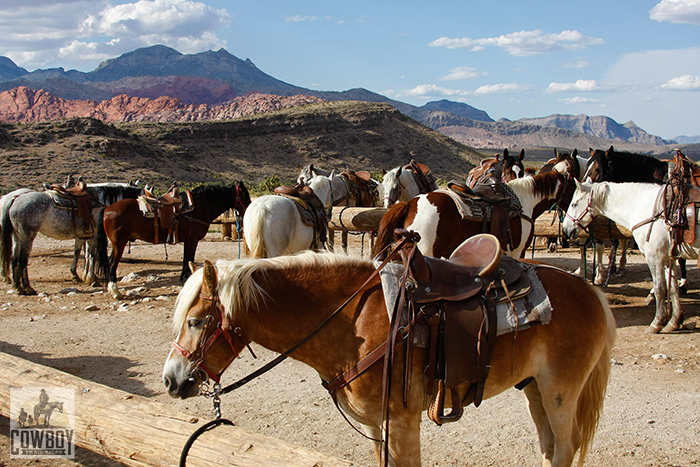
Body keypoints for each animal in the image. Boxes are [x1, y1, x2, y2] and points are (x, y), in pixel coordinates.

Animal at [0, 184, 144, 296]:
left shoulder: (83, 235)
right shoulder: (94, 235)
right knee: (22, 260)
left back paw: (16, 286)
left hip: (17, 236)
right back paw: (27, 287)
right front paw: (91, 278)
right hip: (27, 236)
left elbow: (80, 253)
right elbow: (92, 255)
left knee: (13, 259)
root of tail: (13, 199)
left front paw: (79, 275)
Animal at [95, 181, 252, 298]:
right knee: (112, 263)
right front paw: (186, 280)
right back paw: (115, 291)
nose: (249, 209)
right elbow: (188, 258)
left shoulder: (189, 240)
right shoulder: (192, 240)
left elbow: (187, 259)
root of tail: (107, 208)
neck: (197, 208)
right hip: (118, 243)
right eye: (244, 195)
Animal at [163, 243, 612, 466]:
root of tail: (590, 292)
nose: (171, 379)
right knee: (550, 448)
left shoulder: (400, 421)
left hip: (560, 391)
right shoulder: (378, 426)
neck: (352, 322)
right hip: (534, 389)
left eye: (197, 321)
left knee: (566, 447)